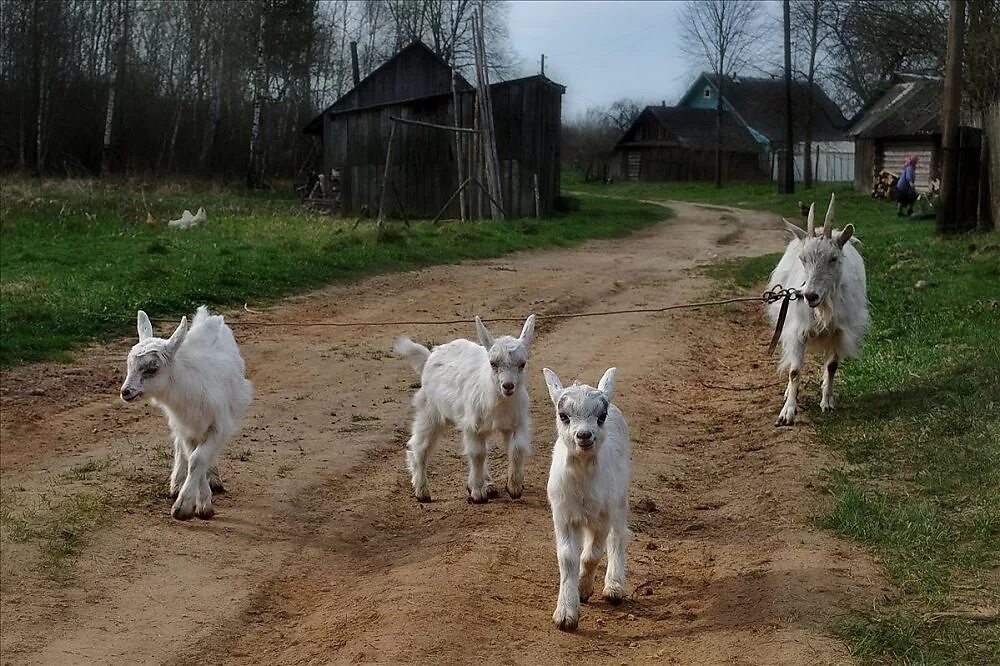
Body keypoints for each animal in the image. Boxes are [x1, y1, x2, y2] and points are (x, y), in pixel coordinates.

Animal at [120, 307, 253, 519]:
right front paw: (199, 501)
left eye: (152, 369)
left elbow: (198, 459)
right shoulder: (186, 428)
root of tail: (208, 318)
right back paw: (177, 482)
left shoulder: (218, 426)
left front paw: (186, 508)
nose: (126, 392)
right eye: (129, 364)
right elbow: (192, 457)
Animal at [394, 315, 536, 504]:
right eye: (493, 363)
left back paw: (487, 485)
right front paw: (477, 493)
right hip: (430, 411)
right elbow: (477, 454)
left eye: (522, 364)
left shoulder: (516, 422)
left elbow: (517, 449)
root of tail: (430, 355)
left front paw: (514, 488)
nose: (508, 386)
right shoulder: (472, 425)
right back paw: (422, 491)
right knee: (420, 445)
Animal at [543, 367, 631, 632]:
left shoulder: (601, 517)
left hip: (619, 498)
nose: (584, 435)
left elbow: (592, 554)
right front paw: (566, 613)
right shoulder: (562, 516)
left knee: (617, 536)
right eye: (563, 416)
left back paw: (614, 586)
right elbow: (568, 558)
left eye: (601, 416)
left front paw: (583, 588)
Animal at [768, 193, 868, 426]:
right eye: (803, 259)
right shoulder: (796, 330)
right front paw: (787, 412)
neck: (823, 307)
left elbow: (831, 366)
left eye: (833, 258)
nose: (810, 296)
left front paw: (827, 401)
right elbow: (794, 370)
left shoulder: (839, 332)